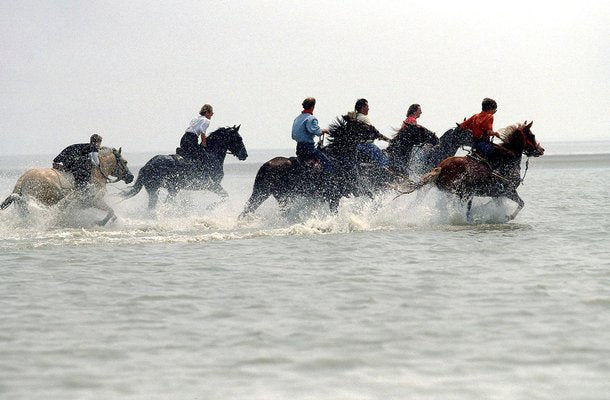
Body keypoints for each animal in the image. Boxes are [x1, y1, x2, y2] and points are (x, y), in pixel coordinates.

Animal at [0, 148, 133, 228]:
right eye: (125, 162)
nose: (131, 177)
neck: (97, 171)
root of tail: (24, 178)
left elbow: (113, 214)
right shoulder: (95, 201)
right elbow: (111, 212)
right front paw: (99, 222)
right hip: (46, 200)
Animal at [394, 122, 540, 222]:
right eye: (532, 135)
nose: (541, 150)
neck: (507, 157)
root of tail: (441, 167)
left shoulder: (496, 194)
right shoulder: (508, 191)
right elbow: (521, 203)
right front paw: (508, 216)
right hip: (463, 192)